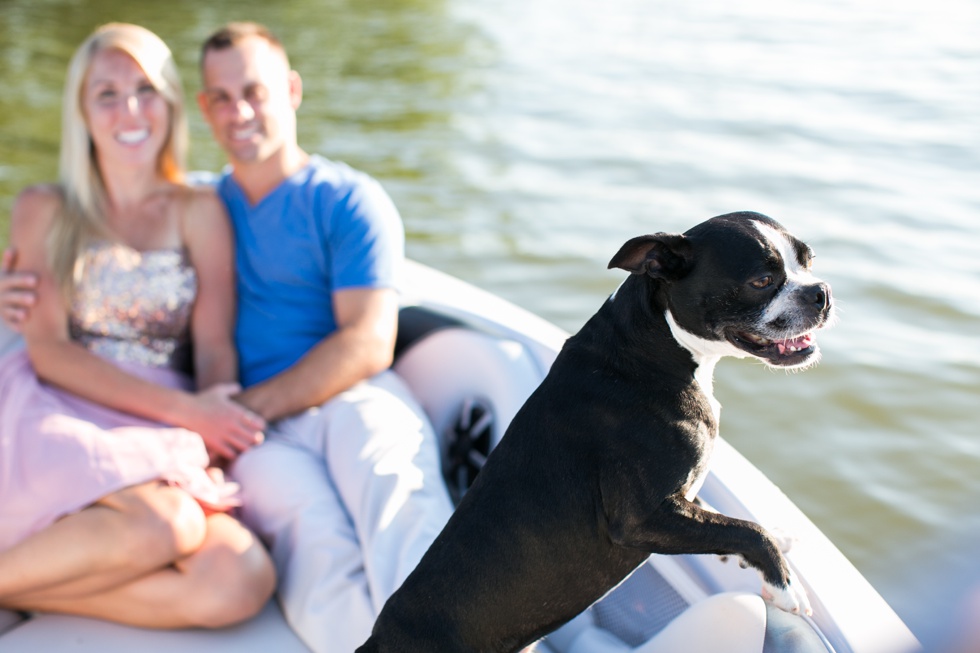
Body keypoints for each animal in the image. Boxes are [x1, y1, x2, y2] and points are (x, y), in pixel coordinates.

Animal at [360, 211, 836, 648]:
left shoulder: (679, 500)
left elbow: (724, 521)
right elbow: (745, 530)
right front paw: (785, 585)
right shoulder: (642, 518)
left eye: (808, 262)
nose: (822, 292)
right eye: (762, 280)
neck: (651, 349)